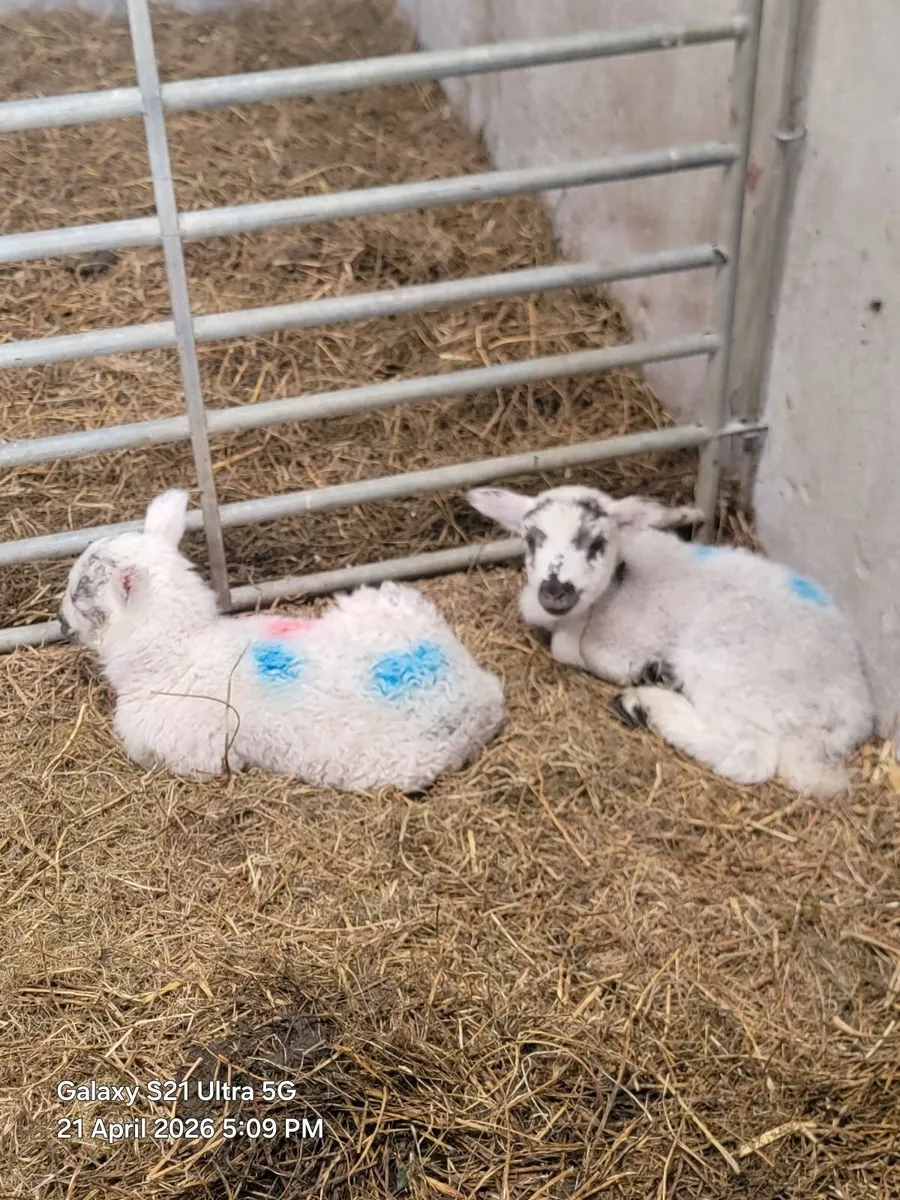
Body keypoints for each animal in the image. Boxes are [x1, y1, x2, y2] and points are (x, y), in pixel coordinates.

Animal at [467, 483, 874, 797]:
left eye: (597, 542)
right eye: (532, 539)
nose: (554, 590)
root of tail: (853, 701)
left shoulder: (620, 641)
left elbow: (580, 651)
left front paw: (644, 672)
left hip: (730, 668)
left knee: (751, 754)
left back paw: (646, 704)